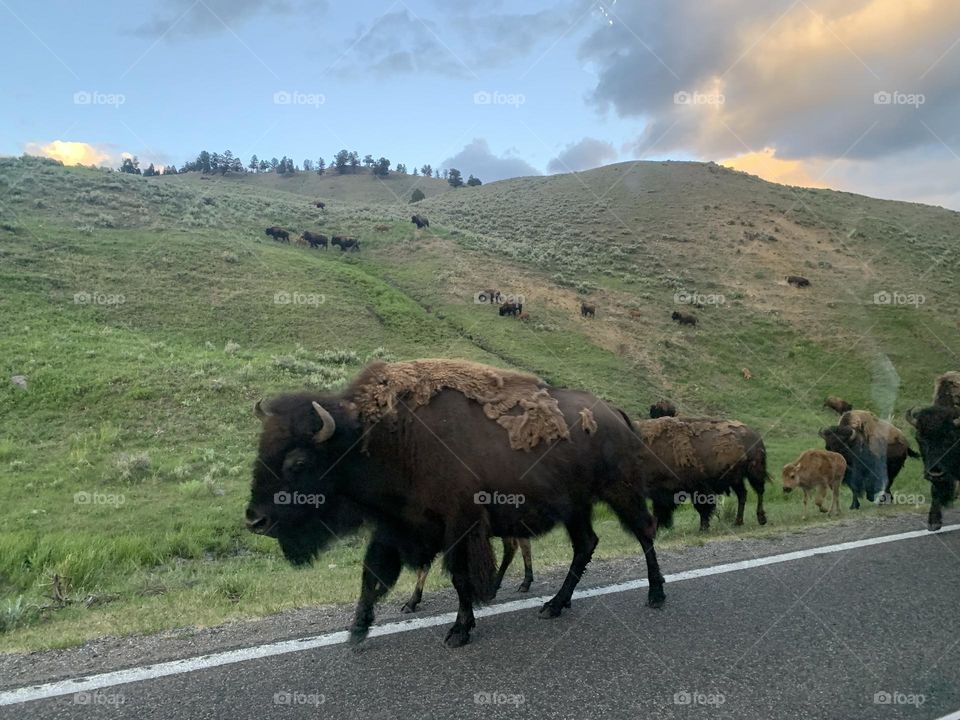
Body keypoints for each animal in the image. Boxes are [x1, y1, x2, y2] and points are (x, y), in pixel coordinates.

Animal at [246, 359, 666, 647]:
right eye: (261, 452)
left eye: (297, 462)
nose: (254, 521)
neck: (380, 440)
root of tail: (616, 414)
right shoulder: (397, 526)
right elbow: (371, 575)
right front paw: (356, 631)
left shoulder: (459, 526)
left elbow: (460, 577)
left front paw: (459, 631)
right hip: (576, 507)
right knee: (585, 545)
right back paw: (554, 605)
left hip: (621, 492)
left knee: (643, 533)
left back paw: (655, 596)